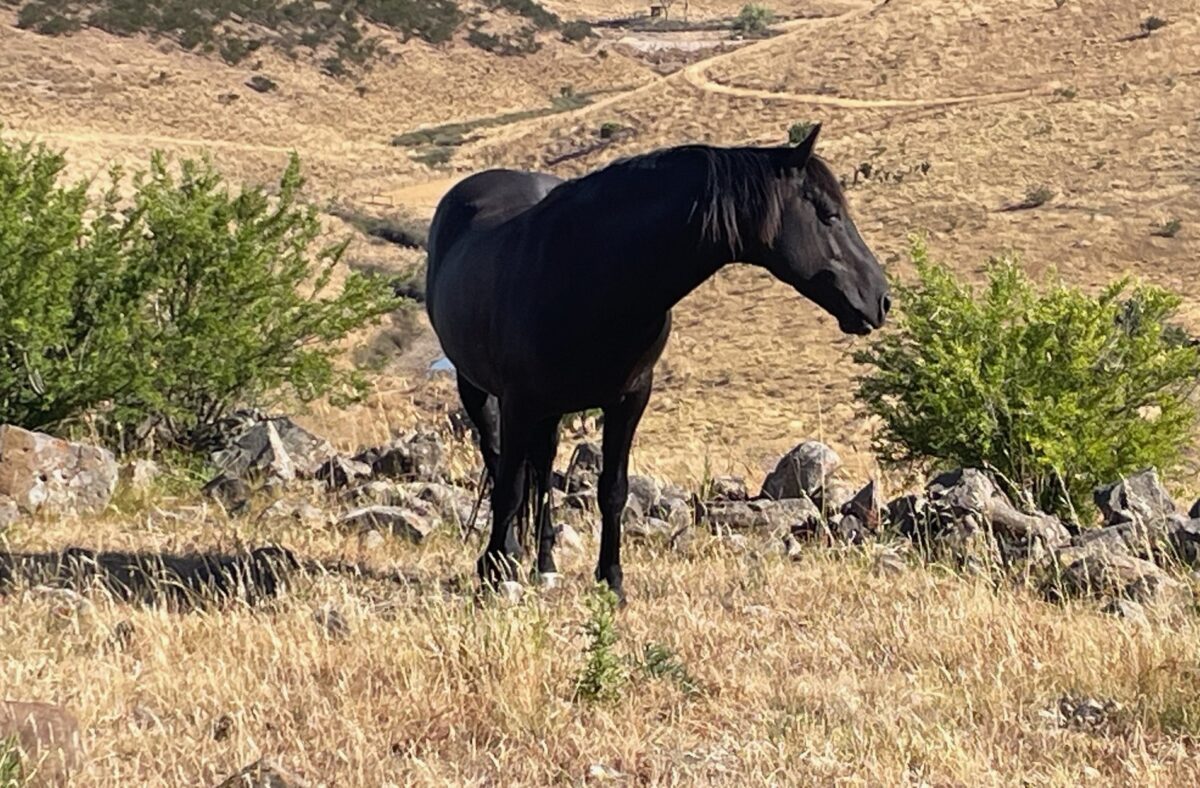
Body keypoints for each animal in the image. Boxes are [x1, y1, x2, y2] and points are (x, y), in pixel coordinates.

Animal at [425, 124, 890, 601]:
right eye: (828, 214)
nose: (881, 298)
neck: (590, 271)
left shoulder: (629, 399)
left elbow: (612, 490)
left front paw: (611, 581)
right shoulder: (519, 403)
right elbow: (510, 489)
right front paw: (494, 573)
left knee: (540, 466)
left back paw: (545, 564)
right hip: (478, 390)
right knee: (501, 463)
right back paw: (508, 558)